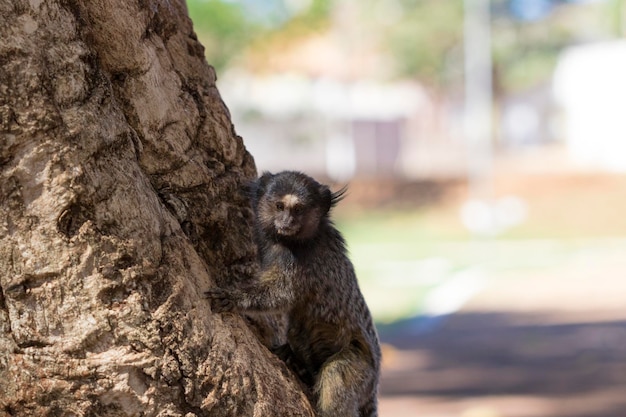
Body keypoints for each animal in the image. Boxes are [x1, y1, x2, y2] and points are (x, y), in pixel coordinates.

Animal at [207, 170, 378, 416]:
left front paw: (235, 297)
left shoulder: (299, 262)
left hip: (364, 369)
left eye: (298, 209)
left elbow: (280, 294)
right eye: (279, 206)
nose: (287, 222)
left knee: (336, 376)